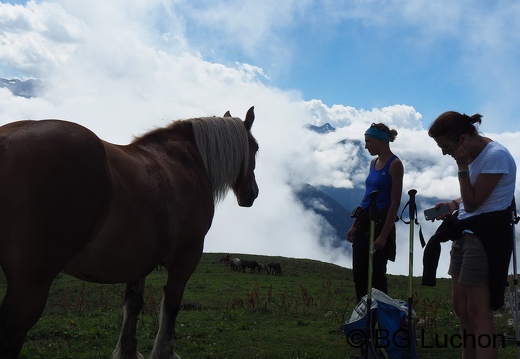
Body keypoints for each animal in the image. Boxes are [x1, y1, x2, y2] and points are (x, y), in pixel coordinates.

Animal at [0, 105, 258, 358]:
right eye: (255, 147)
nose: (252, 194)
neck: (184, 161)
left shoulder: (138, 258)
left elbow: (133, 304)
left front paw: (128, 351)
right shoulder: (187, 255)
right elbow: (172, 303)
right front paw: (164, 351)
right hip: (31, 282)